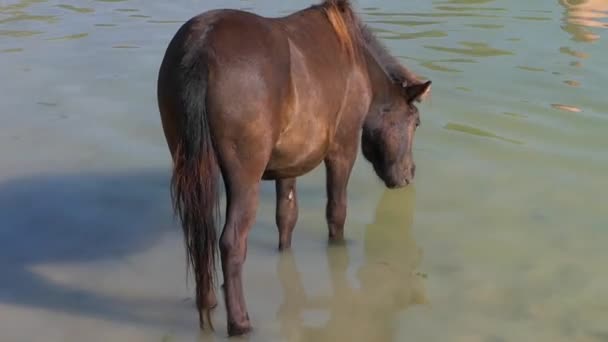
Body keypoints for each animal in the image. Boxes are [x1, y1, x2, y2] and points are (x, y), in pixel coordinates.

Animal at [157, 0, 432, 336]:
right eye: (415, 122)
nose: (408, 174)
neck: (359, 63)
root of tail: (200, 47)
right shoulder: (343, 149)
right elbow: (336, 212)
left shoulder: (287, 165)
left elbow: (286, 216)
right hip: (244, 178)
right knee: (231, 242)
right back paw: (240, 322)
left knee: (199, 236)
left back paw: (207, 303)